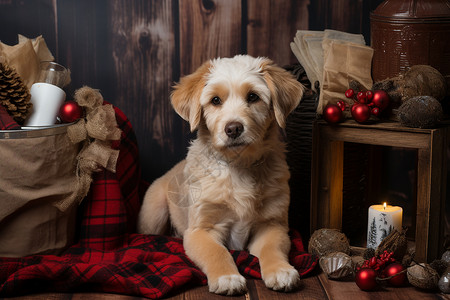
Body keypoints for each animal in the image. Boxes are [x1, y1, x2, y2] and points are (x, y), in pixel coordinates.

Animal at [139, 54, 304, 296]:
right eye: (215, 100)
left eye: (253, 97)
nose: (233, 128)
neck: (239, 165)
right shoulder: (200, 229)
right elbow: (217, 252)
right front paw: (227, 277)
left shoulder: (272, 224)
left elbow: (272, 248)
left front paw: (280, 270)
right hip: (153, 213)